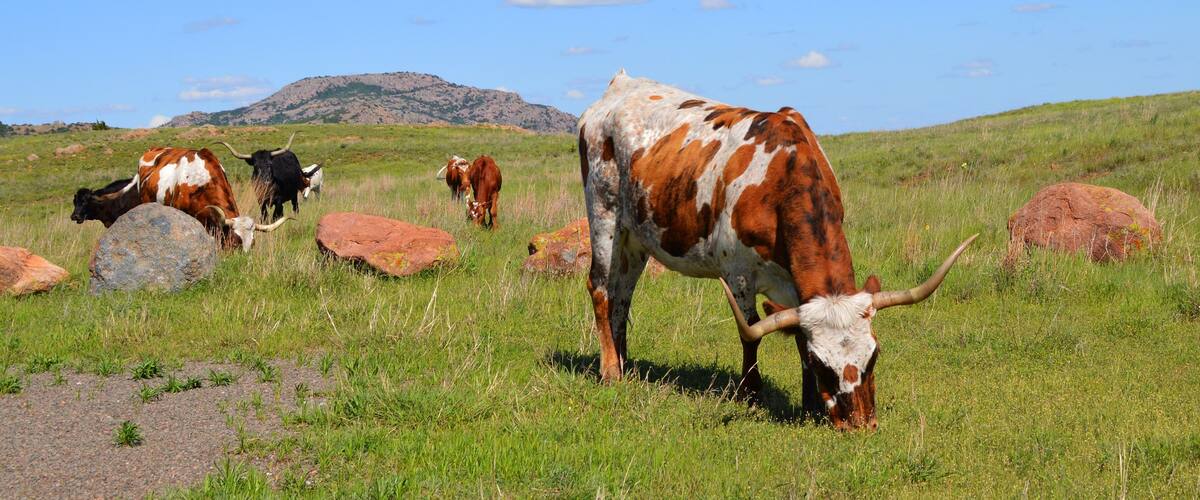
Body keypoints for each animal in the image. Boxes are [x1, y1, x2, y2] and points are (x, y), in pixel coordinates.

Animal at [577, 70, 976, 431]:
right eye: (822, 364)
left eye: (874, 355)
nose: (860, 425)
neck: (783, 177)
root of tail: (621, 84)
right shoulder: (736, 272)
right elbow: (750, 331)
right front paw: (751, 394)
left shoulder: (794, 284)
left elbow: (797, 331)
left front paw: (810, 404)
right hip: (603, 216)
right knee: (600, 288)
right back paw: (610, 371)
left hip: (635, 239)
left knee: (622, 296)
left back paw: (625, 363)